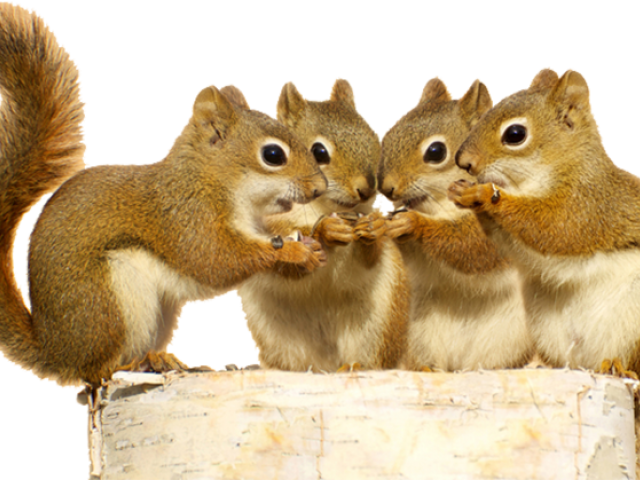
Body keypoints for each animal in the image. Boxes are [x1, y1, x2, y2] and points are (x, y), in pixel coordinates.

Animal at [0, 3, 328, 386]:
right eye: (273, 155)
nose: (319, 188)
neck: (212, 180)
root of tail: (54, 350)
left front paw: (313, 241)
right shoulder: (186, 216)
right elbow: (216, 260)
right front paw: (292, 251)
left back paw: (165, 360)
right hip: (110, 302)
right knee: (96, 371)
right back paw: (131, 367)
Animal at [235, 77, 409, 372]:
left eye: (373, 138)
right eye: (318, 152)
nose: (366, 189)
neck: (324, 207)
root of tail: (325, 365)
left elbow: (366, 261)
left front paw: (373, 229)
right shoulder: (266, 226)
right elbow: (284, 261)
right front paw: (327, 231)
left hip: (379, 322)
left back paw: (355, 366)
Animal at [379, 76, 533, 371]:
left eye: (436, 152)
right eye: (391, 134)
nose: (387, 188)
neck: (440, 209)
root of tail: (457, 363)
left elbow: (472, 246)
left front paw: (414, 224)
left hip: (510, 336)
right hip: (419, 334)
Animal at [449, 66, 640, 377]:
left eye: (515, 134)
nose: (463, 161)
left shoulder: (585, 206)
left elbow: (551, 228)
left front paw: (483, 194)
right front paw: (463, 191)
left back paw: (616, 366)